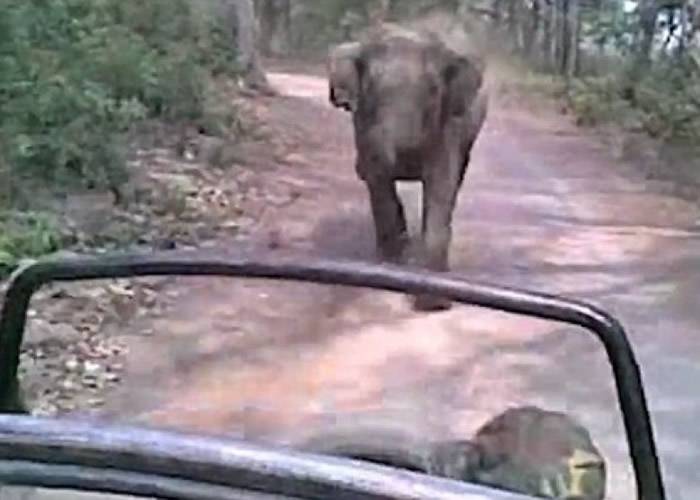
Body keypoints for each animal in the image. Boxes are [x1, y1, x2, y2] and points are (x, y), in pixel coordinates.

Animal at [326, 25, 486, 310]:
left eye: (433, 90)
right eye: (371, 88)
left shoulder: (448, 122)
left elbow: (441, 182)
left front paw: (433, 300)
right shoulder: (363, 123)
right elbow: (379, 182)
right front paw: (391, 263)